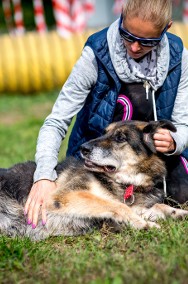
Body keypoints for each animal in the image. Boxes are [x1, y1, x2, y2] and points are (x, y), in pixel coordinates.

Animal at [0, 118, 187, 241]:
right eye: (104, 133)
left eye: (120, 138)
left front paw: (178, 213)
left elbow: (159, 206)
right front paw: (144, 224)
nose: (83, 148)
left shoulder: (137, 205)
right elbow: (117, 205)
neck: (125, 183)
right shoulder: (65, 196)